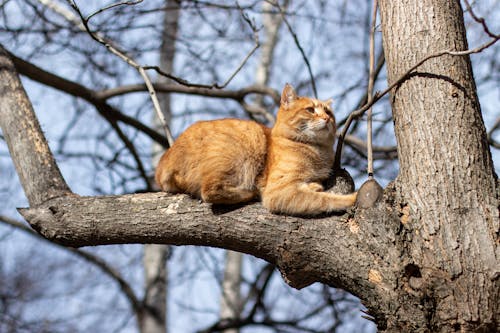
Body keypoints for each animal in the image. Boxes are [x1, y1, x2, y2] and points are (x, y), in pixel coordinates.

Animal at [154, 81, 358, 214]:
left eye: (329, 112)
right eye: (310, 110)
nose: (326, 119)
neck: (317, 150)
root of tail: (164, 160)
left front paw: (314, 185)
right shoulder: (279, 191)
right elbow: (326, 200)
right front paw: (352, 198)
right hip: (248, 139)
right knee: (210, 191)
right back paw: (250, 193)